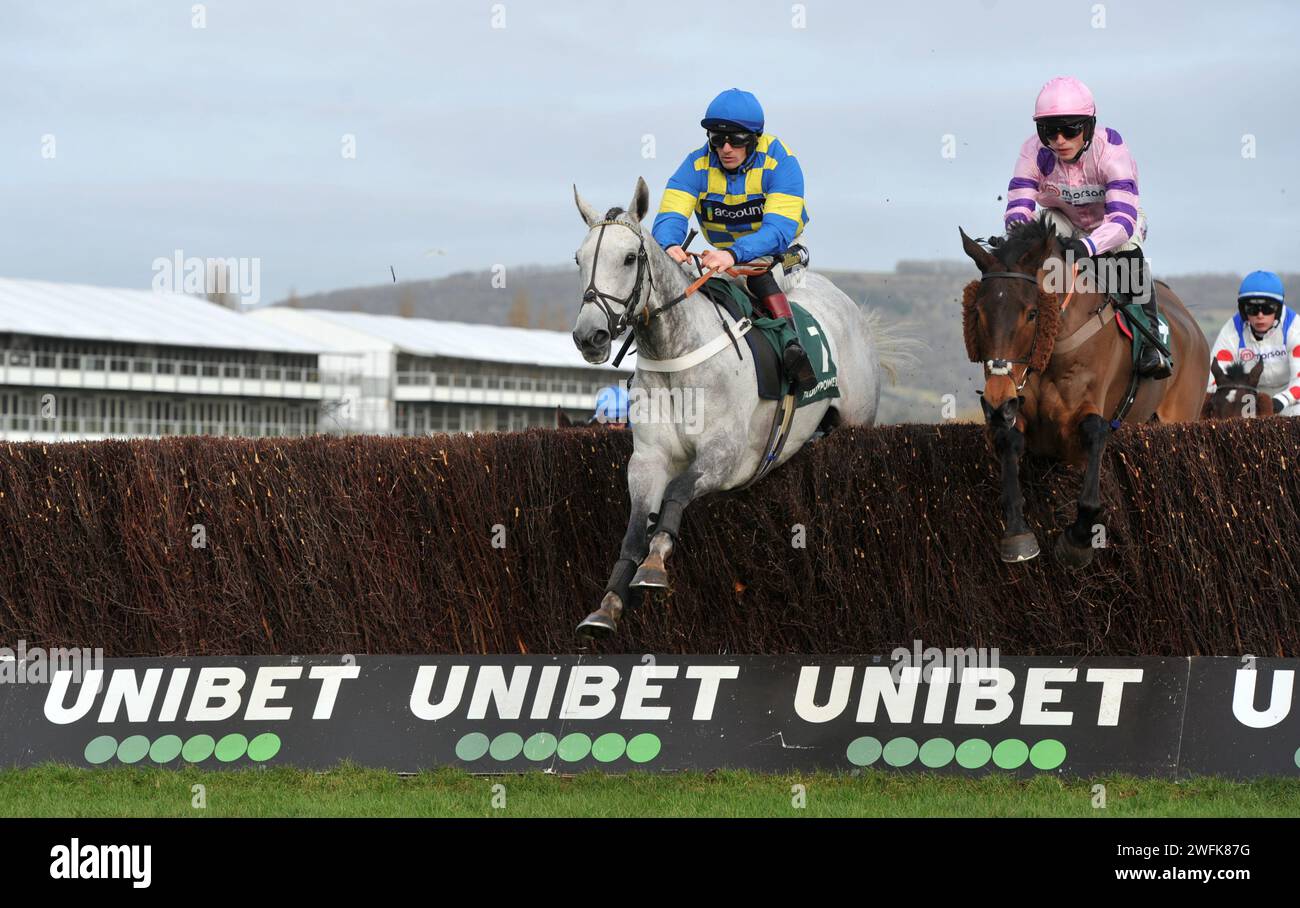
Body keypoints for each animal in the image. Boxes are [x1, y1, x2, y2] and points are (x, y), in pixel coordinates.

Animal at [956, 217, 1206, 567]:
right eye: (977, 312)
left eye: (1032, 313)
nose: (996, 398)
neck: (1056, 344)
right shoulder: (1017, 407)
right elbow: (1009, 442)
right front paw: (1018, 534)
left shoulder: (1086, 413)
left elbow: (1096, 433)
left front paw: (1077, 540)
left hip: (1181, 415)